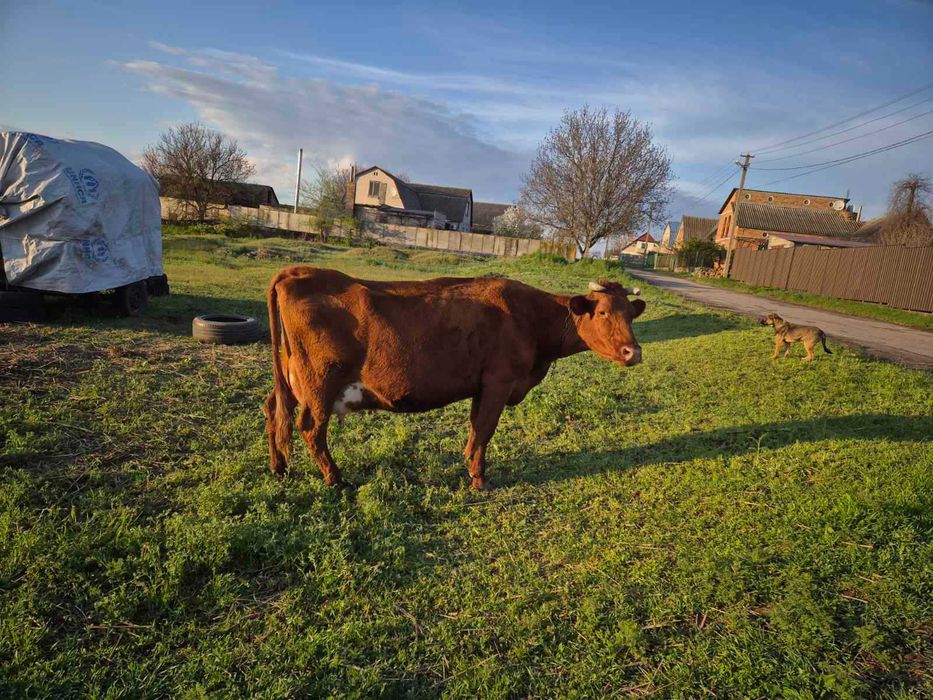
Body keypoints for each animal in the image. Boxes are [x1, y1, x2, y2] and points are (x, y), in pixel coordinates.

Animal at [263, 267, 646, 490]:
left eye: (630, 314)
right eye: (602, 312)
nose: (634, 352)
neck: (530, 318)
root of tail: (299, 273)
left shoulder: (482, 385)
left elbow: (475, 428)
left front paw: (469, 462)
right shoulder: (498, 382)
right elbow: (485, 429)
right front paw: (479, 479)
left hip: (291, 380)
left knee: (274, 411)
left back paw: (279, 467)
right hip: (320, 384)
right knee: (311, 428)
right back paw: (336, 479)